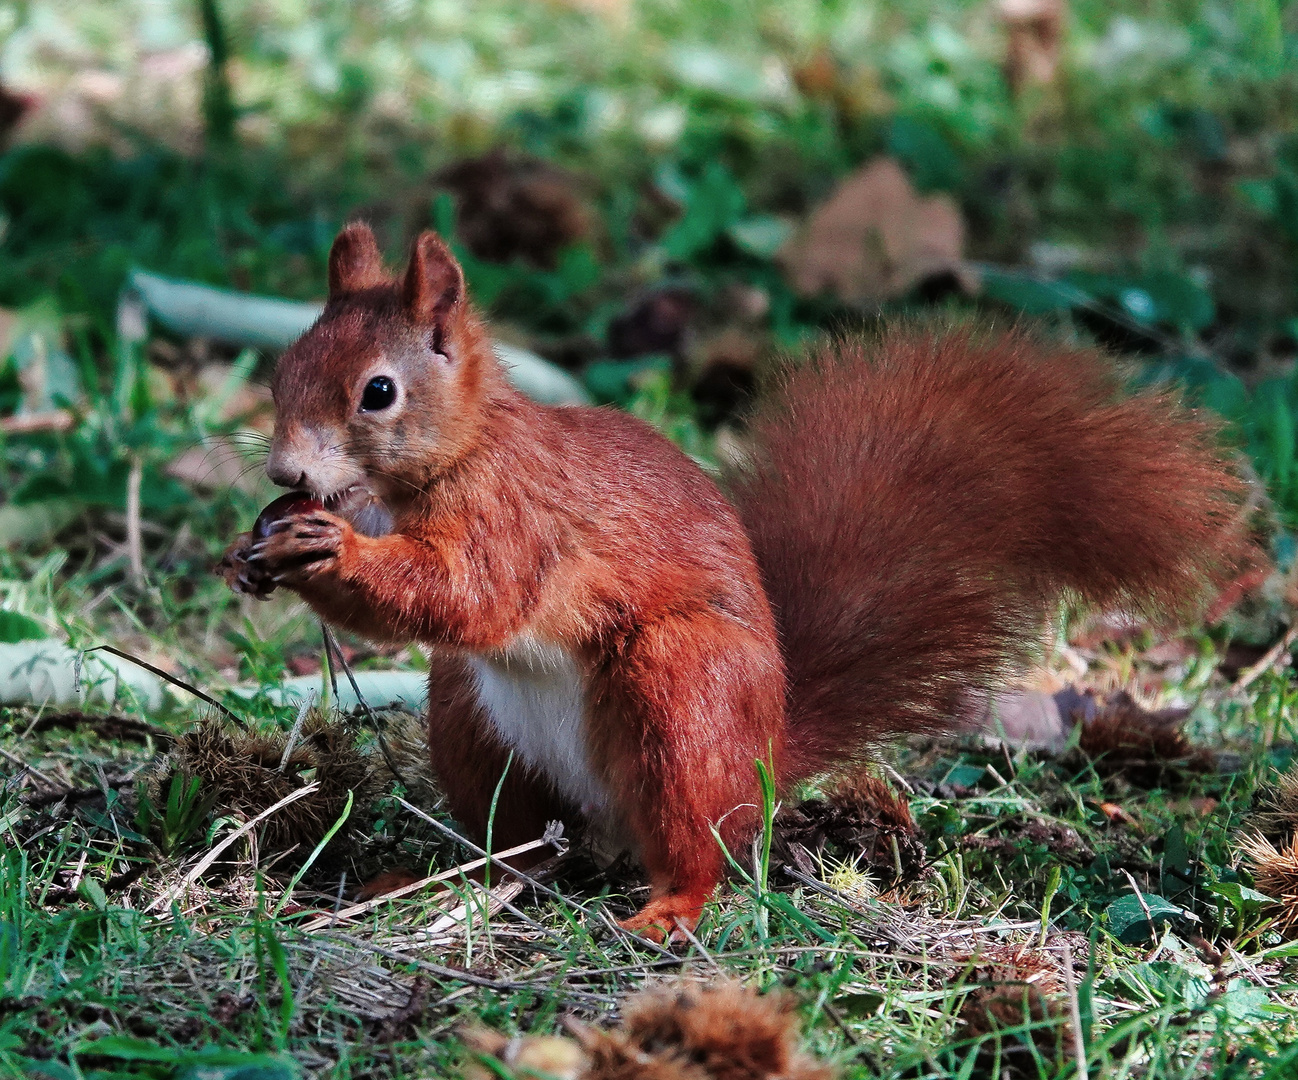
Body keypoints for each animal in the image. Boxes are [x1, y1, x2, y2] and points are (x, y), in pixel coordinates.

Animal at [218, 223, 1240, 939]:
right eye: (285, 367)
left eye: (377, 392)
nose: (283, 472)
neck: (447, 459)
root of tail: (766, 753)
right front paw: (252, 548)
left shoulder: (518, 517)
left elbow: (469, 594)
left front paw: (331, 551)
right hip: (471, 722)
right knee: (520, 849)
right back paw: (449, 880)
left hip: (679, 691)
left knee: (698, 846)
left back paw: (670, 913)